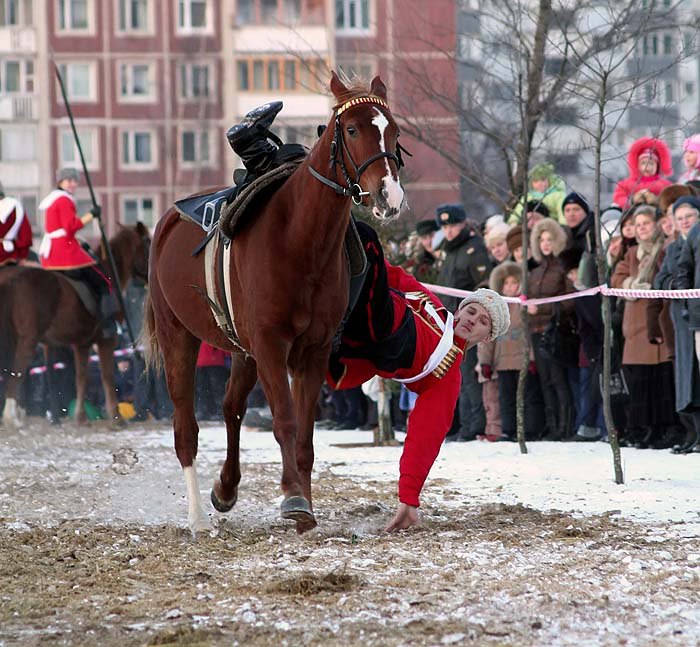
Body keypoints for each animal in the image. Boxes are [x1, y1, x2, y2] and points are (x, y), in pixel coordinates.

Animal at [0, 223, 150, 430]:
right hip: (27, 340)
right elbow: (107, 376)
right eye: (148, 242)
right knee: (16, 371)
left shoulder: (82, 343)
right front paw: (116, 418)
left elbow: (81, 378)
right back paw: (12, 417)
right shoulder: (106, 339)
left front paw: (81, 417)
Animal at [142, 73, 404, 536]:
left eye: (393, 131)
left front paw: (305, 506)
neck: (299, 238)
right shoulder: (270, 345)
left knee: (231, 409)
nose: (389, 194)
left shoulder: (312, 350)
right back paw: (197, 517)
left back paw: (225, 488)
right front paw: (294, 498)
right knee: (185, 426)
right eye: (352, 130)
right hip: (180, 338)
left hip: (242, 352)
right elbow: (283, 420)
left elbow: (304, 435)